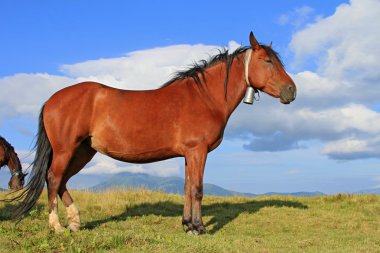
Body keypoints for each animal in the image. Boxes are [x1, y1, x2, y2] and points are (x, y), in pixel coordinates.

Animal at [12, 32, 296, 235]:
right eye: (267, 61)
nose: (292, 91)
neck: (204, 98)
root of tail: (52, 99)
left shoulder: (189, 154)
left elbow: (187, 187)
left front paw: (187, 224)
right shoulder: (198, 151)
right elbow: (197, 189)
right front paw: (199, 228)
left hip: (83, 151)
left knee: (61, 181)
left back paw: (75, 222)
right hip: (66, 149)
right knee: (53, 178)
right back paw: (57, 226)